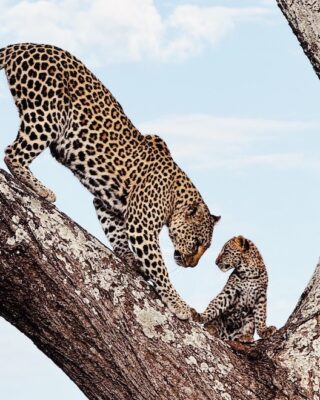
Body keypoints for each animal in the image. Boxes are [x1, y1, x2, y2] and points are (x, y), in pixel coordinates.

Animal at [0, 43, 220, 318]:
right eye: (199, 242)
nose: (191, 265)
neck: (175, 197)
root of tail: (23, 46)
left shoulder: (107, 203)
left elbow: (115, 232)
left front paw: (128, 258)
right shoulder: (142, 225)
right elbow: (160, 269)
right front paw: (178, 304)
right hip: (46, 114)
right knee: (12, 153)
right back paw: (41, 189)